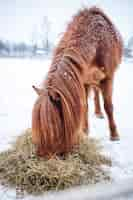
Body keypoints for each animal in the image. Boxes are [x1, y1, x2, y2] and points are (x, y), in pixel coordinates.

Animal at [31, 6, 123, 158]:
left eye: (52, 126)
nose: (41, 154)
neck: (97, 43)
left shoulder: (108, 77)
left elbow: (108, 106)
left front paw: (114, 135)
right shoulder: (83, 79)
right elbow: (84, 106)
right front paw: (84, 131)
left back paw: (100, 113)